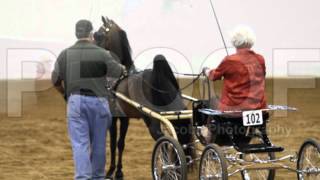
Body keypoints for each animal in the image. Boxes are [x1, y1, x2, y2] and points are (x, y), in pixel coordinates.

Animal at [94, 16, 191, 179]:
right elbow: (120, 143)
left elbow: (113, 143)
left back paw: (166, 170)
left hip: (152, 120)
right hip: (175, 113)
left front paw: (110, 171)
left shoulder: (114, 117)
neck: (119, 77)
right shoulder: (125, 118)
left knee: (163, 143)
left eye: (98, 35)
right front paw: (119, 172)